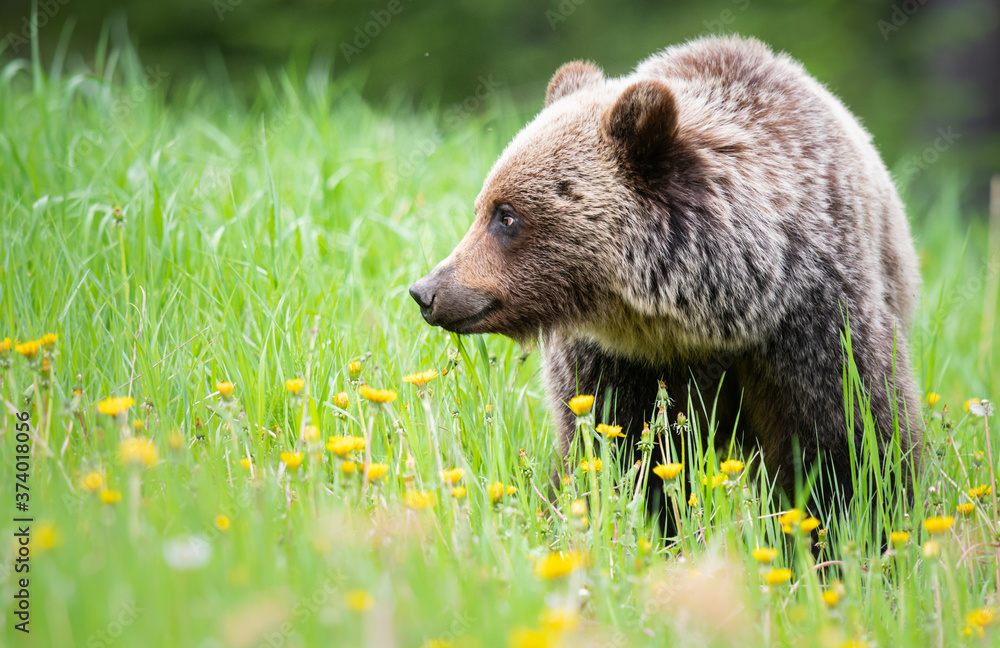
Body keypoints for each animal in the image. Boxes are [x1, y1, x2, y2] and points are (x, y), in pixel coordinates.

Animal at [410, 35, 923, 528]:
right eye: (484, 207)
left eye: (506, 215)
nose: (426, 291)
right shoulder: (616, 360)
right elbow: (622, 448)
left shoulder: (812, 321)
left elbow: (848, 445)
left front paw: (858, 529)